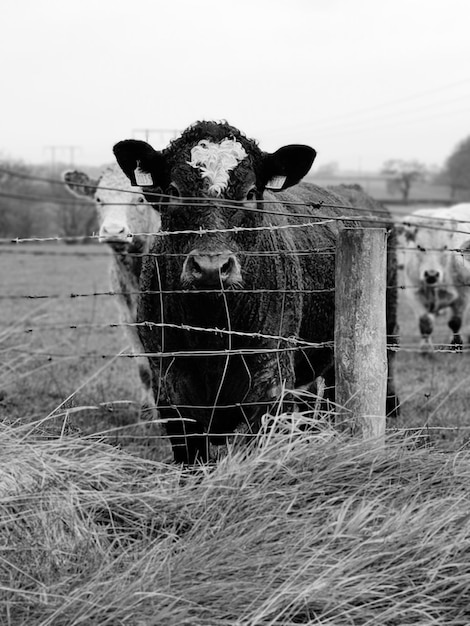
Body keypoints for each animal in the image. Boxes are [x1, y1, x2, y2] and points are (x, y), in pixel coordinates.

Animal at [62, 163, 162, 416]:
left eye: (140, 198)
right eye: (99, 199)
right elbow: (145, 371)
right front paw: (148, 413)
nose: (114, 231)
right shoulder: (128, 318)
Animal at [112, 119, 398, 460]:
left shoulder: (270, 386)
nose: (211, 268)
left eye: (250, 192)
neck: (213, 333)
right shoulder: (171, 393)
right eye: (173, 191)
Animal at [396, 205, 470, 352]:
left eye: (445, 247)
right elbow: (425, 323)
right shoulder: (414, 293)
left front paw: (456, 345)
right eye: (419, 247)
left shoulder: (463, 295)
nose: (431, 274)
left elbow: (455, 322)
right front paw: (426, 349)